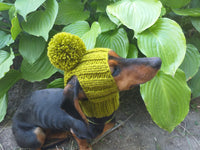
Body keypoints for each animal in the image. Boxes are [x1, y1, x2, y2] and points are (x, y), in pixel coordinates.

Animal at [11, 49, 161, 149]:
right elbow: (82, 143)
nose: (158, 61)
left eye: (119, 56)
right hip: (36, 134)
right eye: (113, 71)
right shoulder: (78, 133)